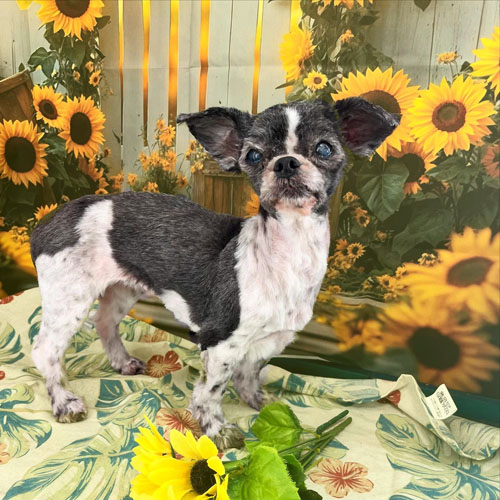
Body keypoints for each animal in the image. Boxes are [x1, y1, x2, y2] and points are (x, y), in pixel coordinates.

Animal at [30, 97, 398, 449]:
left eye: (324, 149)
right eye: (253, 155)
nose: (286, 162)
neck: (286, 255)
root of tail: (47, 222)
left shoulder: (269, 339)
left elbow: (249, 374)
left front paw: (259, 402)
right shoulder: (220, 340)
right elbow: (212, 389)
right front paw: (216, 429)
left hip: (122, 289)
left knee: (104, 321)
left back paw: (122, 362)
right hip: (68, 298)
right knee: (45, 351)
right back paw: (63, 402)